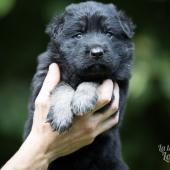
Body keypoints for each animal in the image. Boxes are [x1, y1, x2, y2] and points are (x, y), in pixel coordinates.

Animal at [24, 1, 135, 170]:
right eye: (79, 35)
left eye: (109, 33)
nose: (97, 52)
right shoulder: (43, 79)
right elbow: (62, 86)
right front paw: (61, 116)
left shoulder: (117, 91)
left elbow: (95, 80)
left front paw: (82, 100)